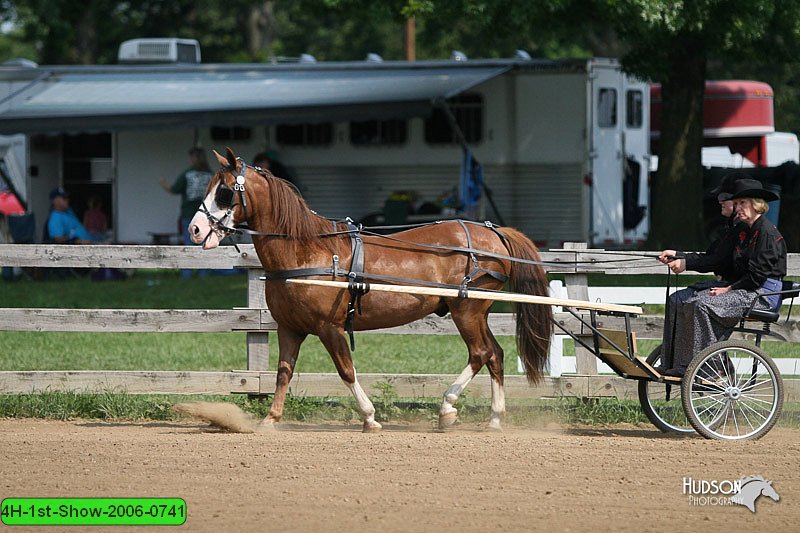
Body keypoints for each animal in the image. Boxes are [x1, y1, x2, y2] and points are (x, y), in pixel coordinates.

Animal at [189, 148, 552, 430]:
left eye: (224, 191)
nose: (195, 229)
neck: (307, 250)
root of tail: (494, 233)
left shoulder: (329, 327)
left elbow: (346, 370)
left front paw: (369, 416)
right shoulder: (290, 328)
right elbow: (283, 372)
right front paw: (271, 419)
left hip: (467, 311)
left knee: (481, 353)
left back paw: (447, 407)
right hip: (478, 312)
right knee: (496, 355)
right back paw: (494, 418)